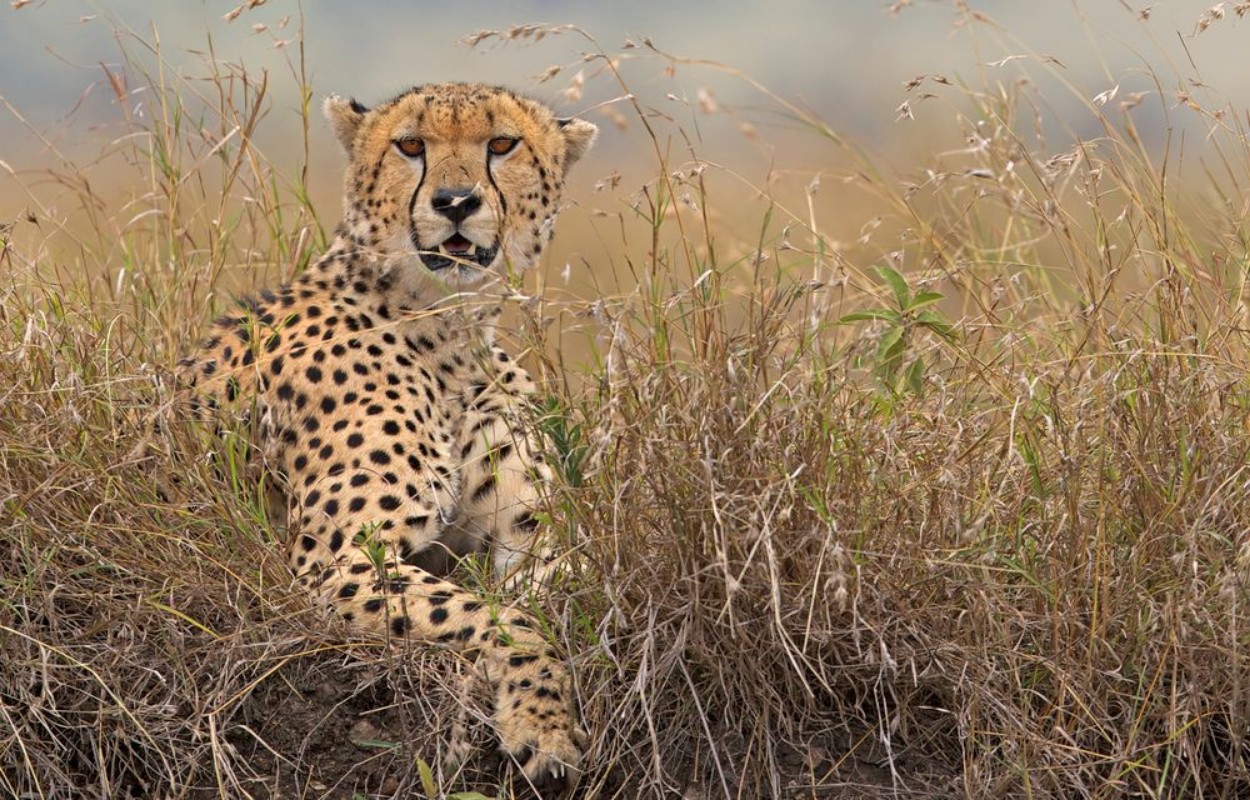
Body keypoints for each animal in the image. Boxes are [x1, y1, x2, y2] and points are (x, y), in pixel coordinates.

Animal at [171, 83, 597, 794]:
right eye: (411, 145)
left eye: (501, 144)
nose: (455, 202)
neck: (448, 329)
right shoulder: (338, 560)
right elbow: (500, 617)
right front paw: (542, 727)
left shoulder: (533, 537)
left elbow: (556, 593)